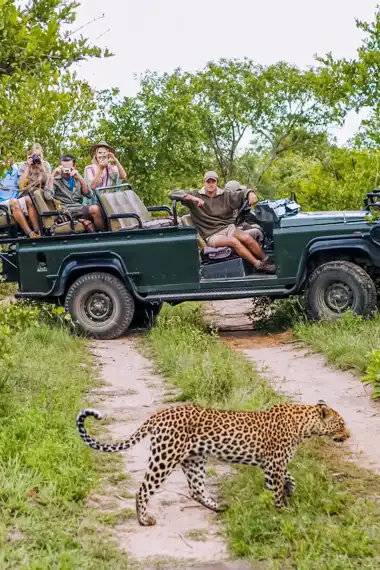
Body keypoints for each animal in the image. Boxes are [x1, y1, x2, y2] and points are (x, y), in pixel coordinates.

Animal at [75, 400, 348, 524]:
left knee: (196, 489)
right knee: (143, 489)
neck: (305, 425)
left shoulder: (271, 464)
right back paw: (144, 520)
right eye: (341, 423)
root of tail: (159, 414)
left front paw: (290, 491)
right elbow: (276, 489)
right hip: (165, 456)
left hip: (194, 459)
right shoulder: (273, 465)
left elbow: (289, 478)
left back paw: (219, 507)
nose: (348, 435)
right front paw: (280, 511)